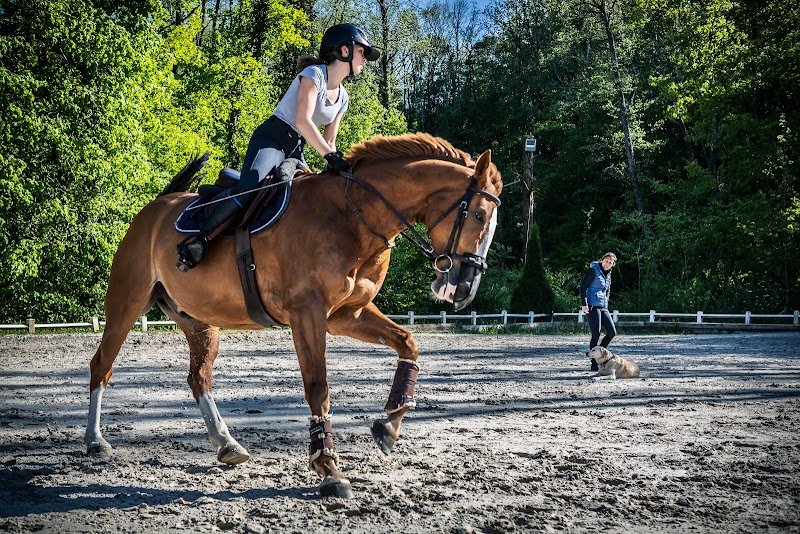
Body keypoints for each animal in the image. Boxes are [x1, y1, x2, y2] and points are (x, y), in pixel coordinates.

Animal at [84, 132, 503, 498]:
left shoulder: (347, 315)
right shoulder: (308, 314)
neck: (353, 215)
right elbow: (318, 387)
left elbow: (408, 343)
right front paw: (329, 468)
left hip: (200, 321)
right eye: (479, 215)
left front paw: (389, 425)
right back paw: (95, 441)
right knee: (101, 365)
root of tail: (158, 206)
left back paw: (226, 444)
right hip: (126, 303)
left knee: (198, 377)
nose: (464, 289)